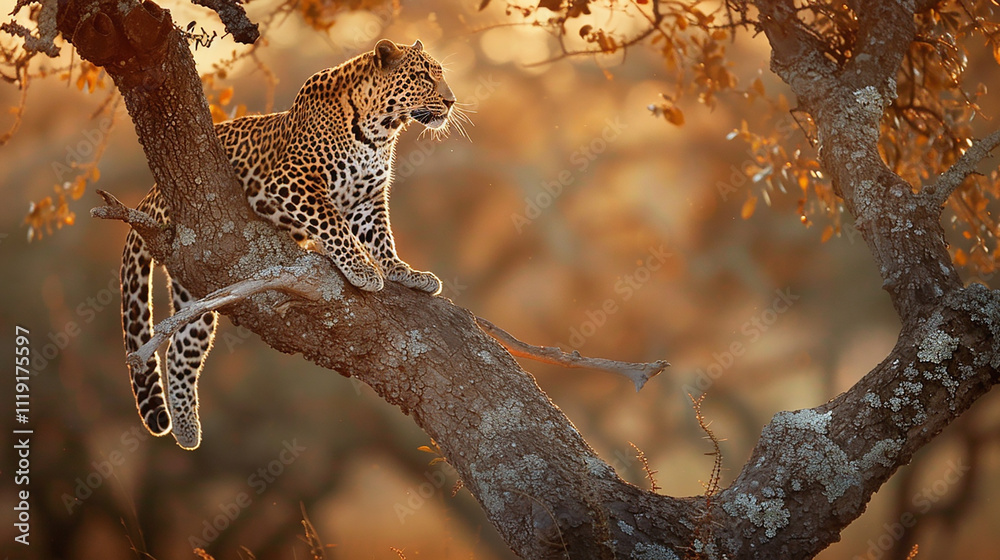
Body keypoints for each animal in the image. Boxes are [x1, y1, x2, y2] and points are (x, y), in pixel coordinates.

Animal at [120, 39, 458, 450]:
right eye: (424, 76)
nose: (452, 101)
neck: (380, 131)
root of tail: (150, 194)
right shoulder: (291, 183)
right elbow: (333, 224)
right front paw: (362, 269)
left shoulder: (368, 201)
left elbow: (382, 237)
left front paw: (404, 272)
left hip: (196, 285)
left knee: (180, 348)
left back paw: (187, 429)